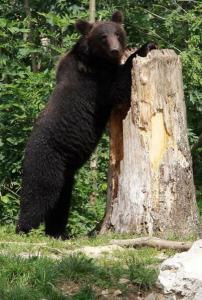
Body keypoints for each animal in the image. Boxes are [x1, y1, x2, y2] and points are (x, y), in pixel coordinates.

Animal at [16, 10, 156, 238]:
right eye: (103, 37)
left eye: (117, 33)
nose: (115, 50)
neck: (97, 60)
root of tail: (26, 151)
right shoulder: (95, 84)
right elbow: (118, 86)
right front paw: (144, 48)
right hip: (46, 162)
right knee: (39, 195)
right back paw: (24, 228)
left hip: (65, 174)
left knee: (61, 202)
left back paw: (58, 232)